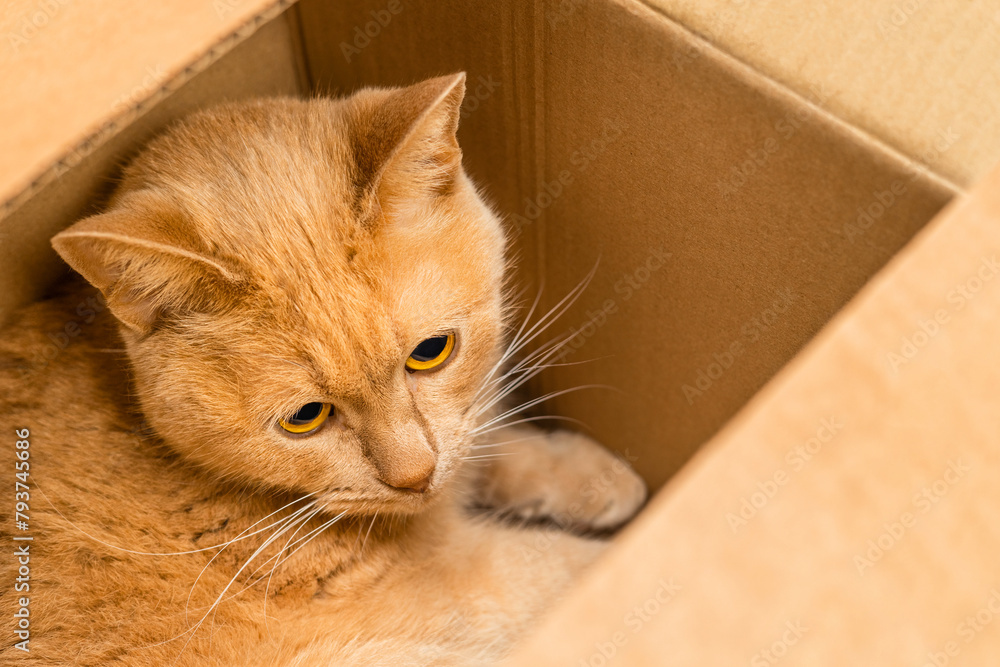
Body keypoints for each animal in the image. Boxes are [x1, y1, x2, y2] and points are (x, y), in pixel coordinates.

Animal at [0, 74, 644, 667]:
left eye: (432, 350)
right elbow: (559, 567)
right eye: (306, 417)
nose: (414, 479)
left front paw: (588, 475)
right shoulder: (449, 586)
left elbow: (481, 442)